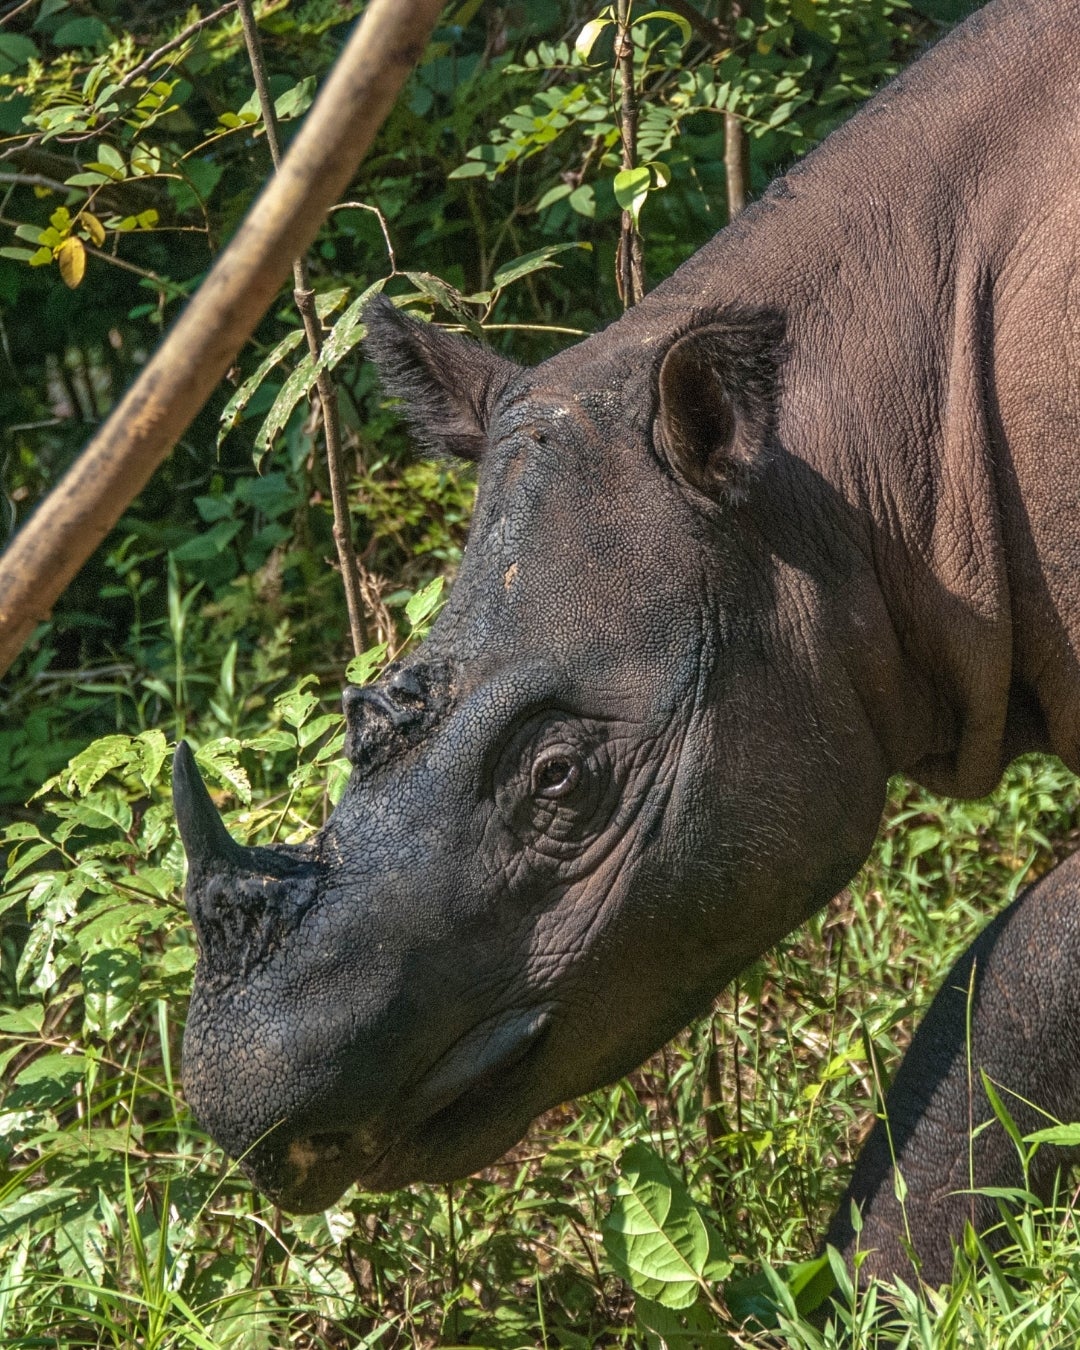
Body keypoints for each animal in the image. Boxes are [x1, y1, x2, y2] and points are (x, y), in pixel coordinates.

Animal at [175, 0, 1080, 1280]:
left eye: (561, 779)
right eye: (363, 711)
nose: (239, 1096)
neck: (847, 458)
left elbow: (1021, 967)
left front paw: (875, 1286)